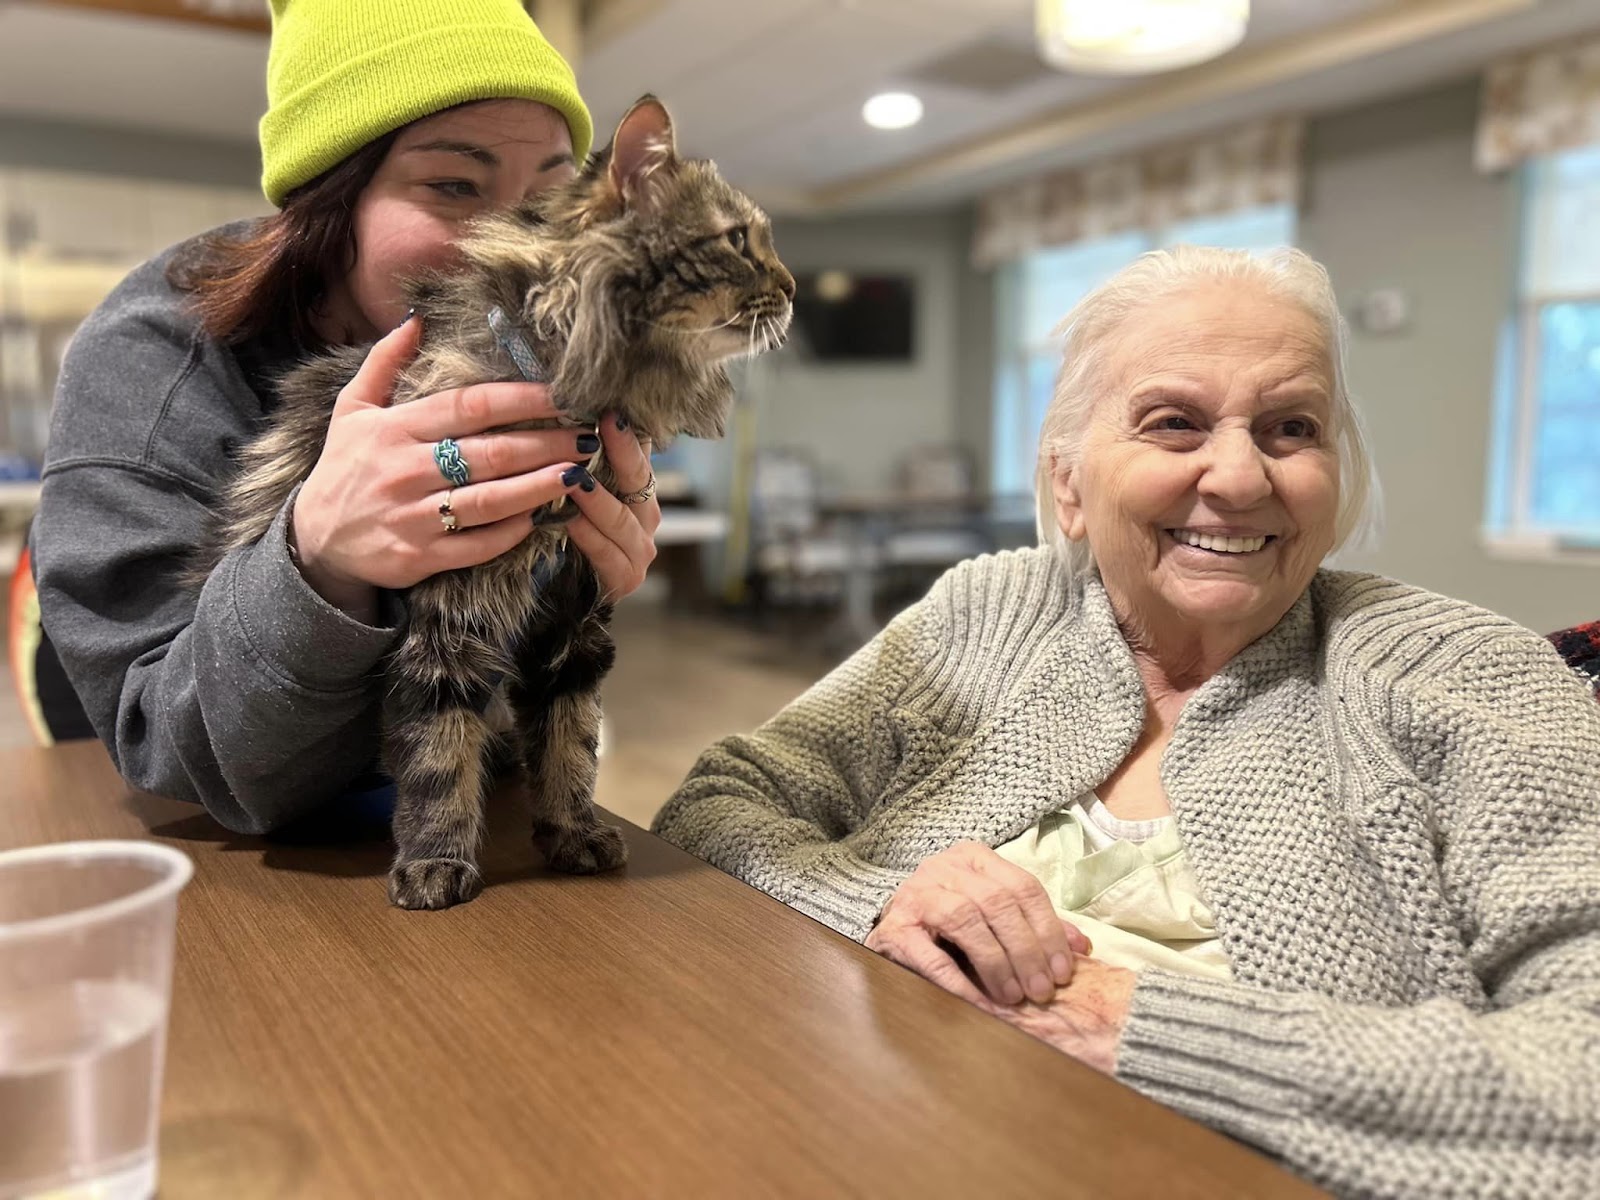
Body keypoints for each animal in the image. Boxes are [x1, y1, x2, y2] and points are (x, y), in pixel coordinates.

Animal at [206, 98, 793, 908]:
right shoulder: (448, 621)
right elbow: (438, 756)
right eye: (738, 240)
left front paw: (573, 834)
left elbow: (572, 746)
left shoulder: (577, 613)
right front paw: (436, 862)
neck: (574, 395)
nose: (795, 287)